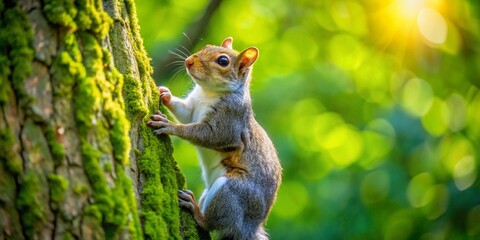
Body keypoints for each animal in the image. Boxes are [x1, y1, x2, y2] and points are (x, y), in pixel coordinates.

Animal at [146, 36, 282, 239]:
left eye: (223, 61)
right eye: (206, 46)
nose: (188, 61)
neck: (208, 93)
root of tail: (250, 228)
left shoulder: (229, 121)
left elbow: (206, 135)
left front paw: (169, 125)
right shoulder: (192, 109)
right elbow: (185, 114)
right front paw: (165, 93)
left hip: (230, 192)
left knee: (213, 223)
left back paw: (195, 210)